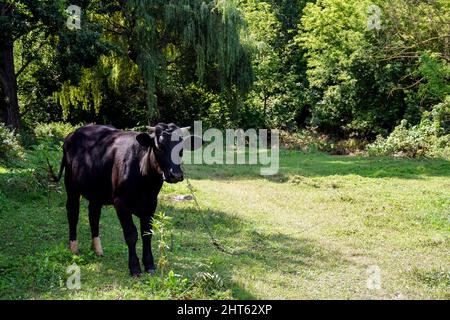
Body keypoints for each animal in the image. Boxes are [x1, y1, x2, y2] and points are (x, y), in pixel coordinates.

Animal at [50, 122, 191, 276]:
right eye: (159, 147)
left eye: (181, 149)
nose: (176, 175)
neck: (145, 182)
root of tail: (72, 134)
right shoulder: (121, 204)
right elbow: (131, 235)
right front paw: (134, 267)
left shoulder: (151, 204)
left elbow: (147, 234)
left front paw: (149, 265)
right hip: (71, 187)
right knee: (73, 214)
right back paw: (74, 248)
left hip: (96, 192)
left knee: (93, 216)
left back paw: (97, 249)